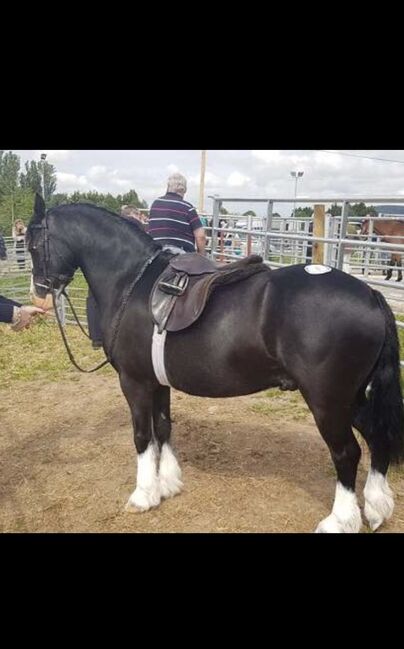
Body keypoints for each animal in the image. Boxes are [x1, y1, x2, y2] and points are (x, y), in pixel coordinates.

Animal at [26, 196, 402, 532]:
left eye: (31, 244)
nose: (38, 294)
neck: (131, 281)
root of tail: (370, 294)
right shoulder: (157, 382)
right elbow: (163, 427)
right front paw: (168, 484)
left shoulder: (134, 382)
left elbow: (142, 436)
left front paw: (143, 496)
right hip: (351, 398)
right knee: (377, 440)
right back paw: (377, 508)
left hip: (327, 401)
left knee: (347, 453)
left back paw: (340, 521)